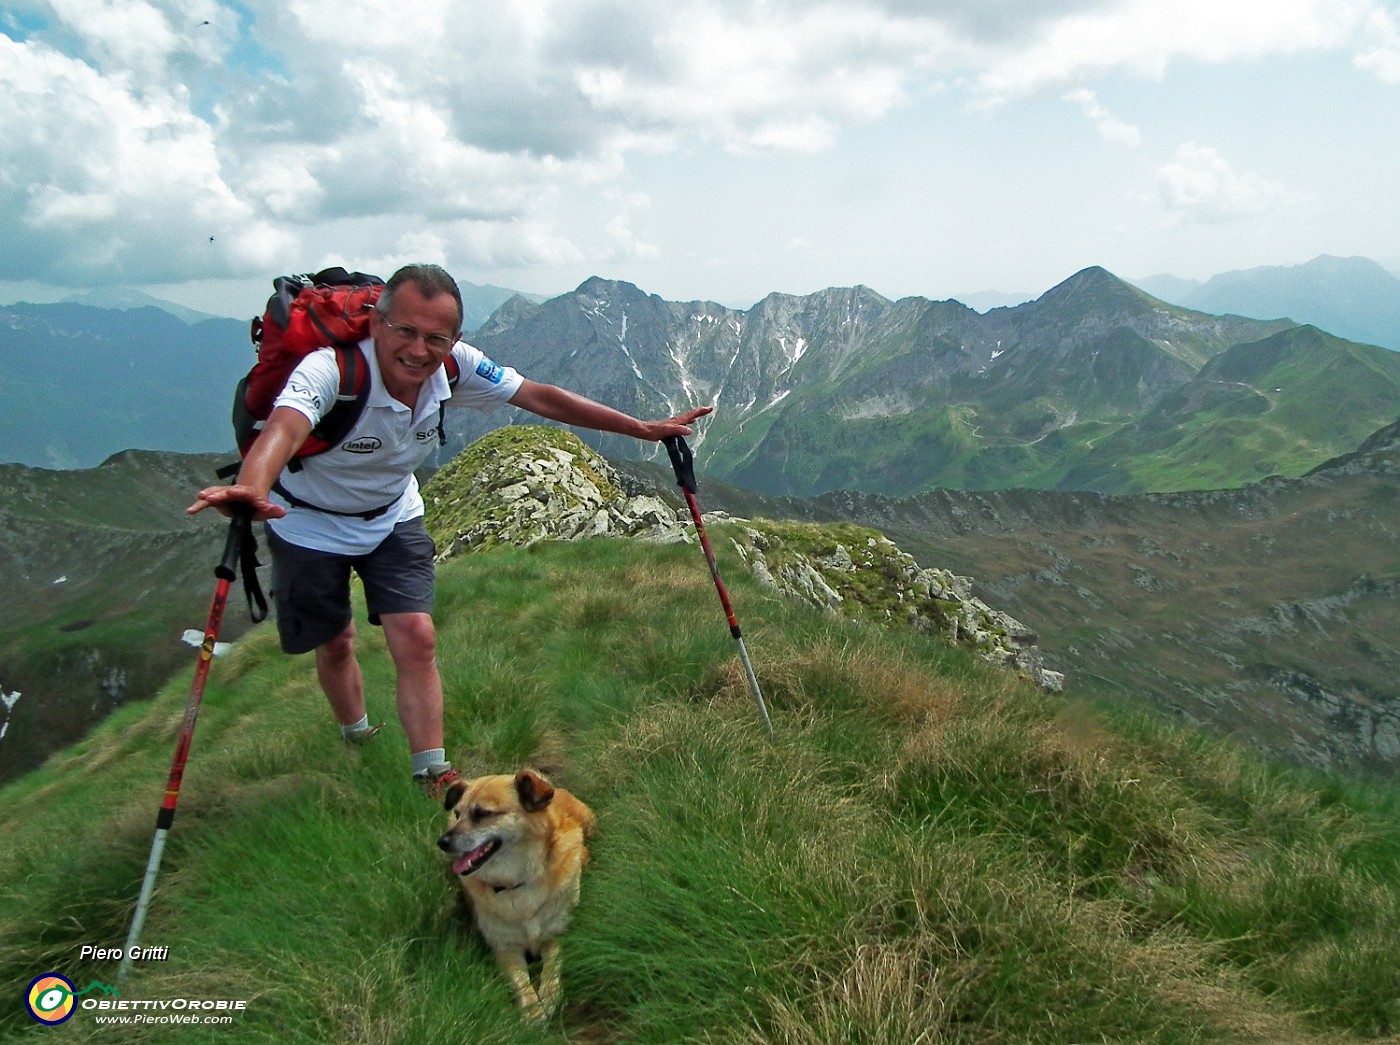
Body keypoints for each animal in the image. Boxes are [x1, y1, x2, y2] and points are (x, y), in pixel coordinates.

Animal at [434, 767, 593, 1019]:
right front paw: (533, 1011)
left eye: (483, 813)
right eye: (458, 814)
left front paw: (550, 996)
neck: (515, 883)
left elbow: (552, 966)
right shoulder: (506, 949)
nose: (442, 842)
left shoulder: (556, 935)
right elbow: (520, 981)